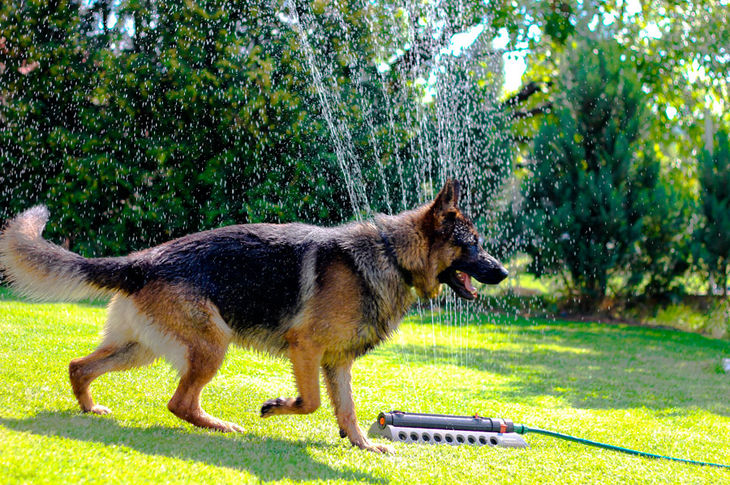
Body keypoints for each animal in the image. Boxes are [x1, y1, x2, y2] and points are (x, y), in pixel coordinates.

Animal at [0, 180, 506, 452]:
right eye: (474, 245)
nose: (502, 272)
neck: (391, 255)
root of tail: (140, 260)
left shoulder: (337, 362)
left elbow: (346, 409)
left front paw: (362, 445)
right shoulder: (306, 348)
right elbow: (313, 402)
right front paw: (277, 406)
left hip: (139, 348)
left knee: (79, 366)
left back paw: (90, 409)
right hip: (212, 344)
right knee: (178, 403)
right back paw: (221, 427)